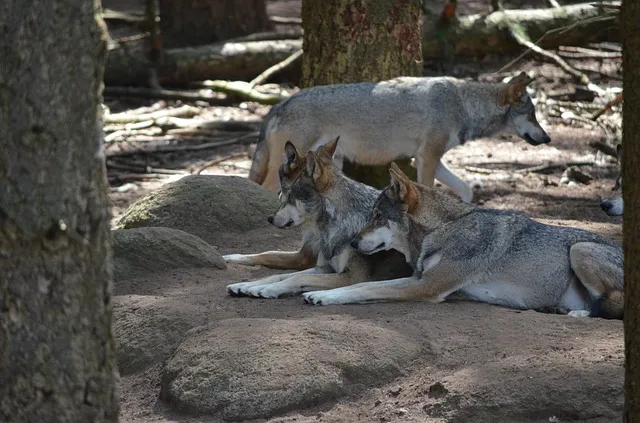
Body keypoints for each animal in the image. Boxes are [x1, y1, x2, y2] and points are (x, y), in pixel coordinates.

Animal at [225, 139, 412, 298]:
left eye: (290, 196)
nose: (270, 218)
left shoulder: (351, 277)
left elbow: (295, 277)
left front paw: (268, 290)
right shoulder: (323, 268)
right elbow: (280, 274)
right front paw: (248, 285)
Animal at [250, 72, 552, 203]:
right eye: (533, 115)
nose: (548, 138)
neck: (463, 104)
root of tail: (277, 106)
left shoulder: (426, 158)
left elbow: (466, 189)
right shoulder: (429, 157)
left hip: (331, 162)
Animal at [302, 164, 624, 320]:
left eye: (378, 216)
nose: (353, 243)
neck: (443, 229)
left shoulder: (427, 286)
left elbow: (364, 288)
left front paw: (325, 296)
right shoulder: (419, 279)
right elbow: (360, 285)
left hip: (579, 249)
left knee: (612, 306)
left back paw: (579, 313)